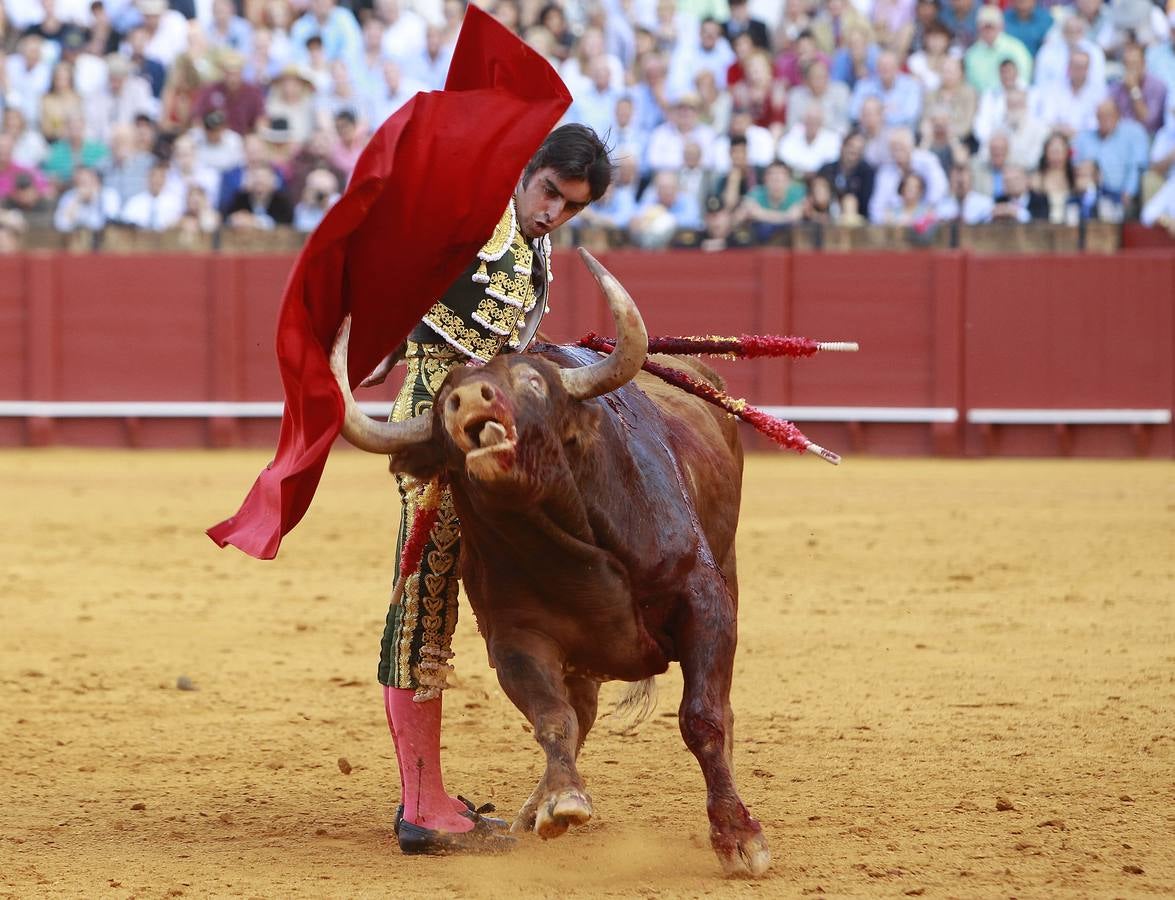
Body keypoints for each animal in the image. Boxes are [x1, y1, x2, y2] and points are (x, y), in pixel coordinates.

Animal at [331, 250, 770, 878]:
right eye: (440, 405)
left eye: (533, 382)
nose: (472, 400)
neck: (568, 539)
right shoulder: (518, 637)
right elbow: (553, 716)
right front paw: (561, 799)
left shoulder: (703, 601)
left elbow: (703, 717)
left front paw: (739, 837)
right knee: (577, 709)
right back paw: (519, 809)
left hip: (727, 569)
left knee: (714, 710)